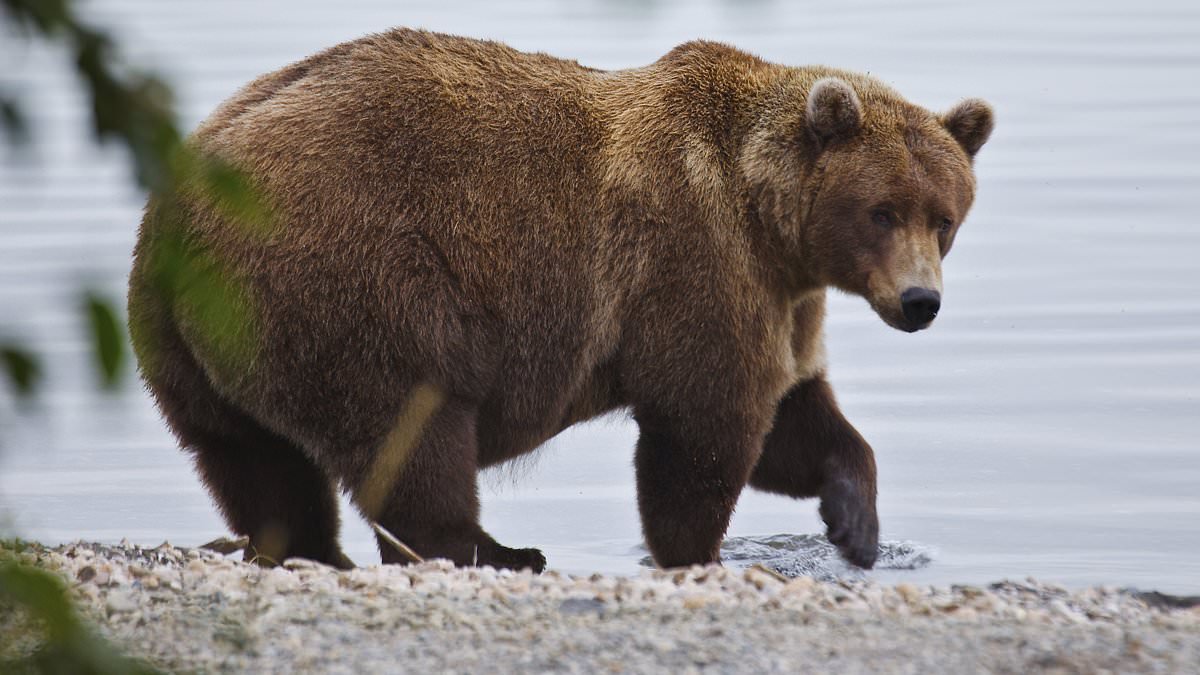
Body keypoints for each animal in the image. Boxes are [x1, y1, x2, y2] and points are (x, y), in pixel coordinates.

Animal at [127, 29, 993, 572]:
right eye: (882, 211)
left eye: (944, 216)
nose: (920, 300)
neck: (768, 219)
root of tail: (184, 198)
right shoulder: (697, 261)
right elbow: (706, 425)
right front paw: (696, 549)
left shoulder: (783, 298)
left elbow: (796, 418)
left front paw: (856, 525)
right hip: (357, 277)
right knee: (412, 425)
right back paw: (497, 549)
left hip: (193, 339)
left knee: (251, 457)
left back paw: (309, 546)